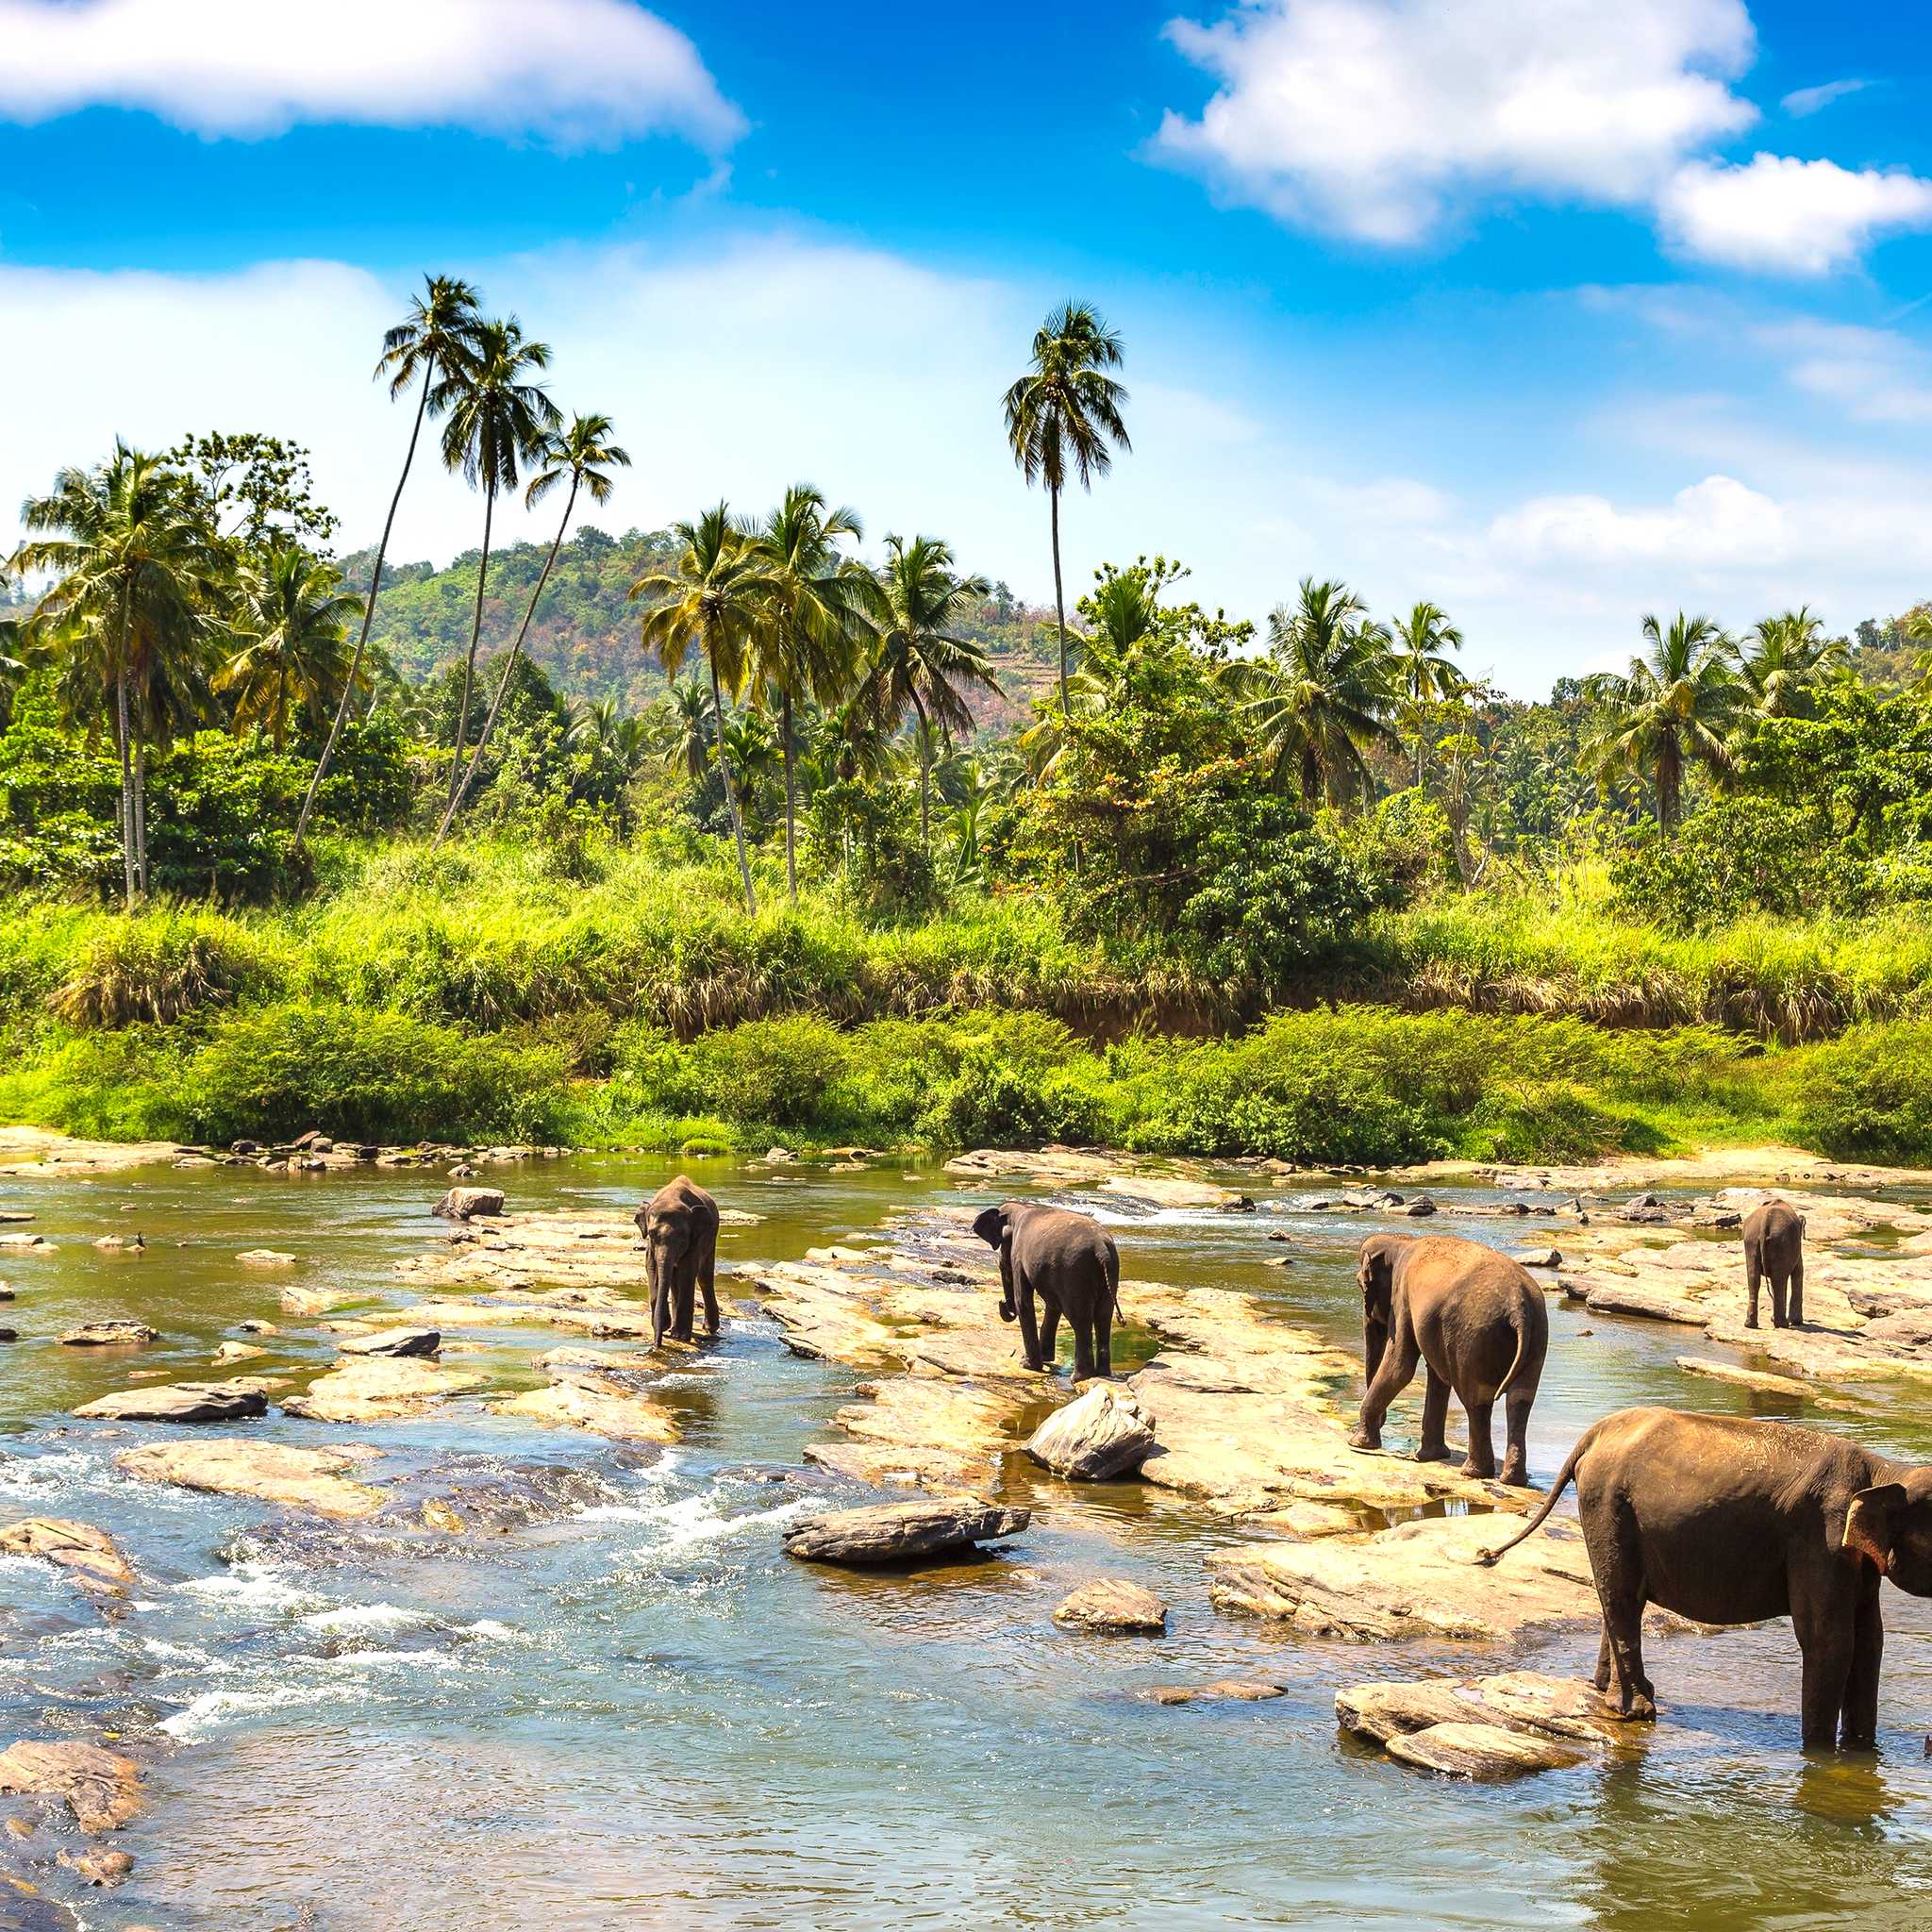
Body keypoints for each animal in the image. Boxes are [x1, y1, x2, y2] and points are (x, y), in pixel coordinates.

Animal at [634, 1175, 720, 1351]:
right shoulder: (651, 1246)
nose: (656, 1346)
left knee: (704, 1277)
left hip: (712, 1237)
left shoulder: (696, 1238)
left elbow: (687, 1271)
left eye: (682, 1237)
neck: (671, 1198)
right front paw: (665, 1327)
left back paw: (709, 1328)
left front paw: (680, 1336)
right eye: (651, 1234)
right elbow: (652, 1269)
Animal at [970, 1201, 1121, 1380]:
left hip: (1074, 1272)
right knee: (1104, 1316)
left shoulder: (1019, 1256)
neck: (1020, 1208)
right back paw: (1102, 1373)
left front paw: (1026, 1364)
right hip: (1108, 1273)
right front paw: (1044, 1358)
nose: (1002, 1302)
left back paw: (1079, 1377)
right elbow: (1053, 1305)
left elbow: (1023, 1301)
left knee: (1080, 1319)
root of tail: (1101, 1249)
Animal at [1348, 1231, 1548, 1486]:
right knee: (1520, 1399)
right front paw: (1432, 1456)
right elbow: (1436, 1376)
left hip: (1472, 1336)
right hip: (1536, 1335)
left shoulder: (1402, 1299)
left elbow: (1400, 1366)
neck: (1402, 1240)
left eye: (1361, 1284)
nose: (1382, 1421)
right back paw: (1512, 1480)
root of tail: (1518, 1306)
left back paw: (1473, 1473)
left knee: (1476, 1400)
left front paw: (1357, 1445)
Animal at [1479, 1406, 1932, 1751]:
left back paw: (1610, 1693)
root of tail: (1594, 1434)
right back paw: (1637, 1710)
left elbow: (1870, 1639)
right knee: (1622, 1595)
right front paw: (1820, 1757)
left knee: (1618, 1595)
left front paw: (1861, 1750)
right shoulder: (1821, 1540)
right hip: (1607, 1501)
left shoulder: (1855, 1560)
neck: (1883, 1470)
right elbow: (1829, 1639)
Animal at [1743, 1198, 1806, 1330]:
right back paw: (1782, 1324)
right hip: (1781, 1243)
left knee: (1754, 1279)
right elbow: (1799, 1272)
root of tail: (1765, 1221)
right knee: (1778, 1280)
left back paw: (1750, 1325)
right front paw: (1796, 1322)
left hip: (1751, 1240)